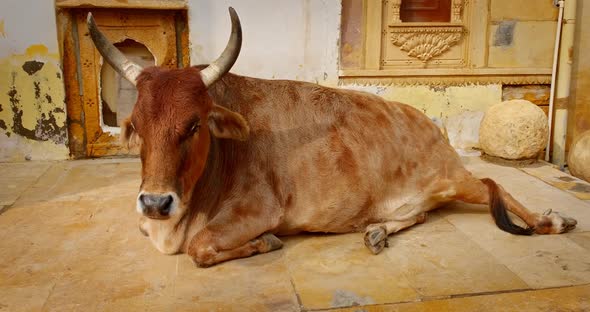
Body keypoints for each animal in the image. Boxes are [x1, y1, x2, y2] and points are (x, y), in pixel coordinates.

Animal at [88, 7, 580, 266]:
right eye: (136, 125)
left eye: (193, 124)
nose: (155, 202)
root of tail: (429, 123)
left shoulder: (257, 210)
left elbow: (200, 246)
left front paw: (267, 242)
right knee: (419, 213)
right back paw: (377, 232)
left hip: (454, 179)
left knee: (494, 185)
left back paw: (552, 221)